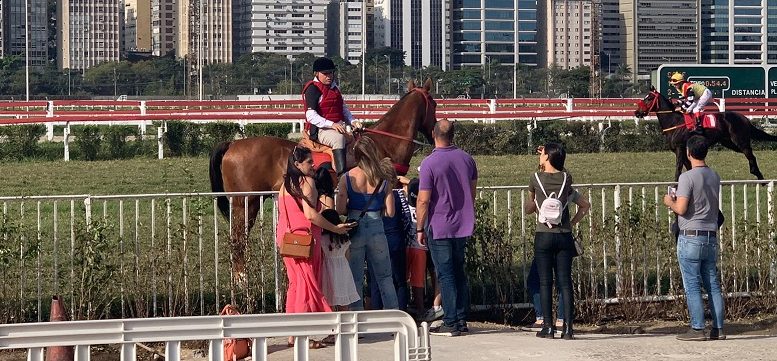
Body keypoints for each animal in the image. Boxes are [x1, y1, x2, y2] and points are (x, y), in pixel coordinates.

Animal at [208, 79, 436, 278]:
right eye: (434, 104)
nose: (434, 134)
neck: (383, 145)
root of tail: (233, 144)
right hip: (246, 201)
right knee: (238, 237)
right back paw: (241, 277)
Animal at [632, 86, 776, 179]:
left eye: (649, 98)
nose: (637, 112)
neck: (674, 122)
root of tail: (744, 118)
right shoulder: (681, 150)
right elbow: (689, 167)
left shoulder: (680, 148)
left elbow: (678, 168)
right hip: (729, 143)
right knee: (750, 155)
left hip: (740, 141)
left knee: (751, 155)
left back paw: (759, 176)